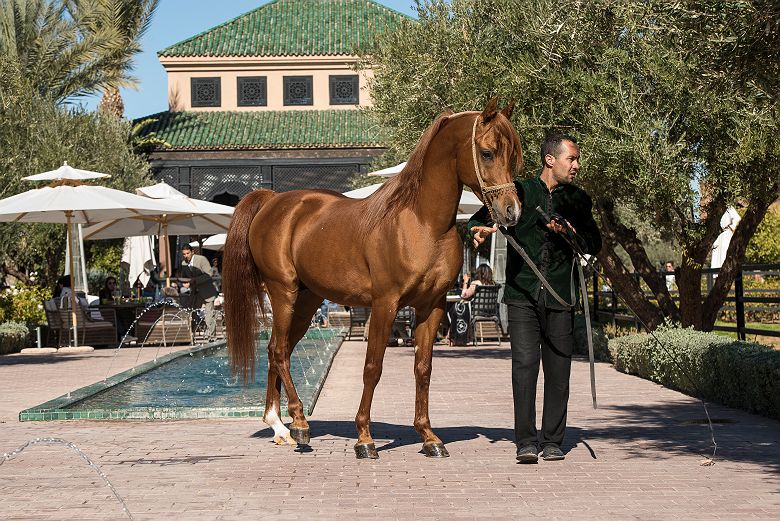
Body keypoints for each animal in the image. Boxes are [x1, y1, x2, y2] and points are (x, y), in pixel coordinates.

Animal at [222, 98, 523, 459]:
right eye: (488, 152)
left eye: (513, 153)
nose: (512, 211)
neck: (422, 224)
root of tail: (273, 201)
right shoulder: (384, 304)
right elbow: (373, 368)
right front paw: (364, 438)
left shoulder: (433, 306)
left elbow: (423, 368)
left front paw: (429, 437)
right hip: (283, 293)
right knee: (279, 350)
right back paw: (298, 423)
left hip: (307, 301)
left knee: (277, 351)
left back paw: (280, 426)